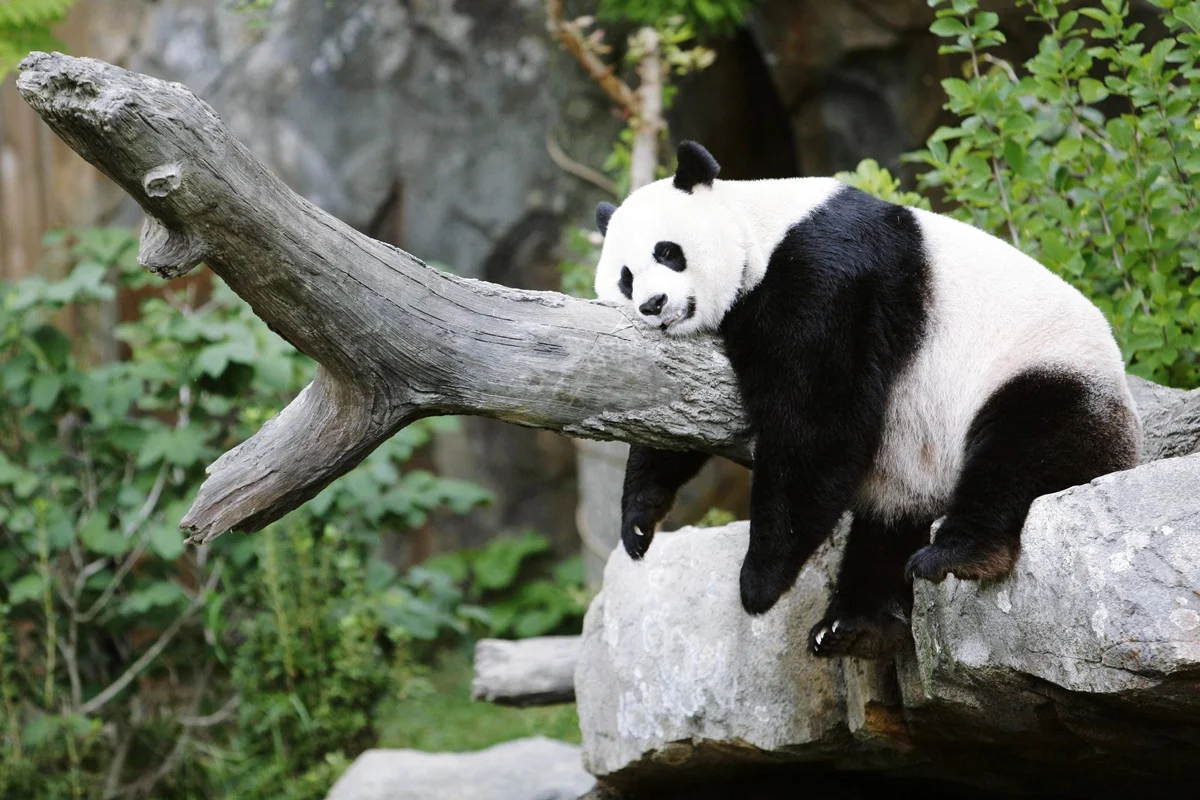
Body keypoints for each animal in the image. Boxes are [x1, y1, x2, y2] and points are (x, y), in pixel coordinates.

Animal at [593, 140, 1142, 659]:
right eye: (625, 277)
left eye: (668, 252)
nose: (653, 305)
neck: (760, 228)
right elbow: (676, 413)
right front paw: (639, 522)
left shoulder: (826, 275)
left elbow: (817, 422)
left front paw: (759, 582)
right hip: (915, 467)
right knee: (889, 526)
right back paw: (854, 625)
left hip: (1044, 372)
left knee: (1023, 449)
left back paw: (957, 555)